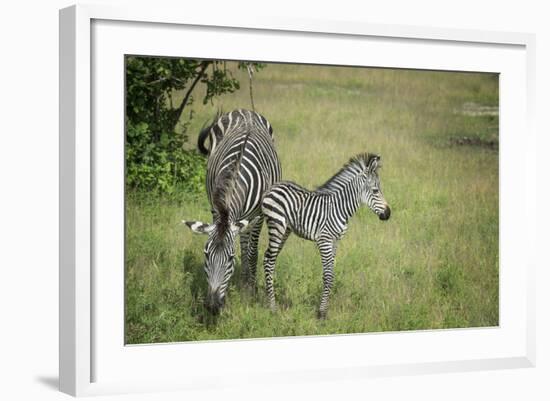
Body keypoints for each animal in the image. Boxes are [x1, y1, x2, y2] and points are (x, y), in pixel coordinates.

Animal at [184, 108, 282, 312]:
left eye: (230, 258)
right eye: (206, 255)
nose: (212, 306)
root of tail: (244, 111)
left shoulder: (258, 216)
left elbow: (252, 253)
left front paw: (251, 291)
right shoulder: (216, 210)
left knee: (248, 246)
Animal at [264, 153, 392, 318]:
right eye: (375, 190)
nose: (388, 214)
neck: (340, 208)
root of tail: (273, 187)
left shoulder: (335, 241)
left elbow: (331, 274)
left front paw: (324, 311)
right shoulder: (324, 240)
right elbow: (328, 276)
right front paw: (321, 314)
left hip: (285, 230)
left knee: (271, 259)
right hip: (276, 225)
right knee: (268, 260)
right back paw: (272, 308)